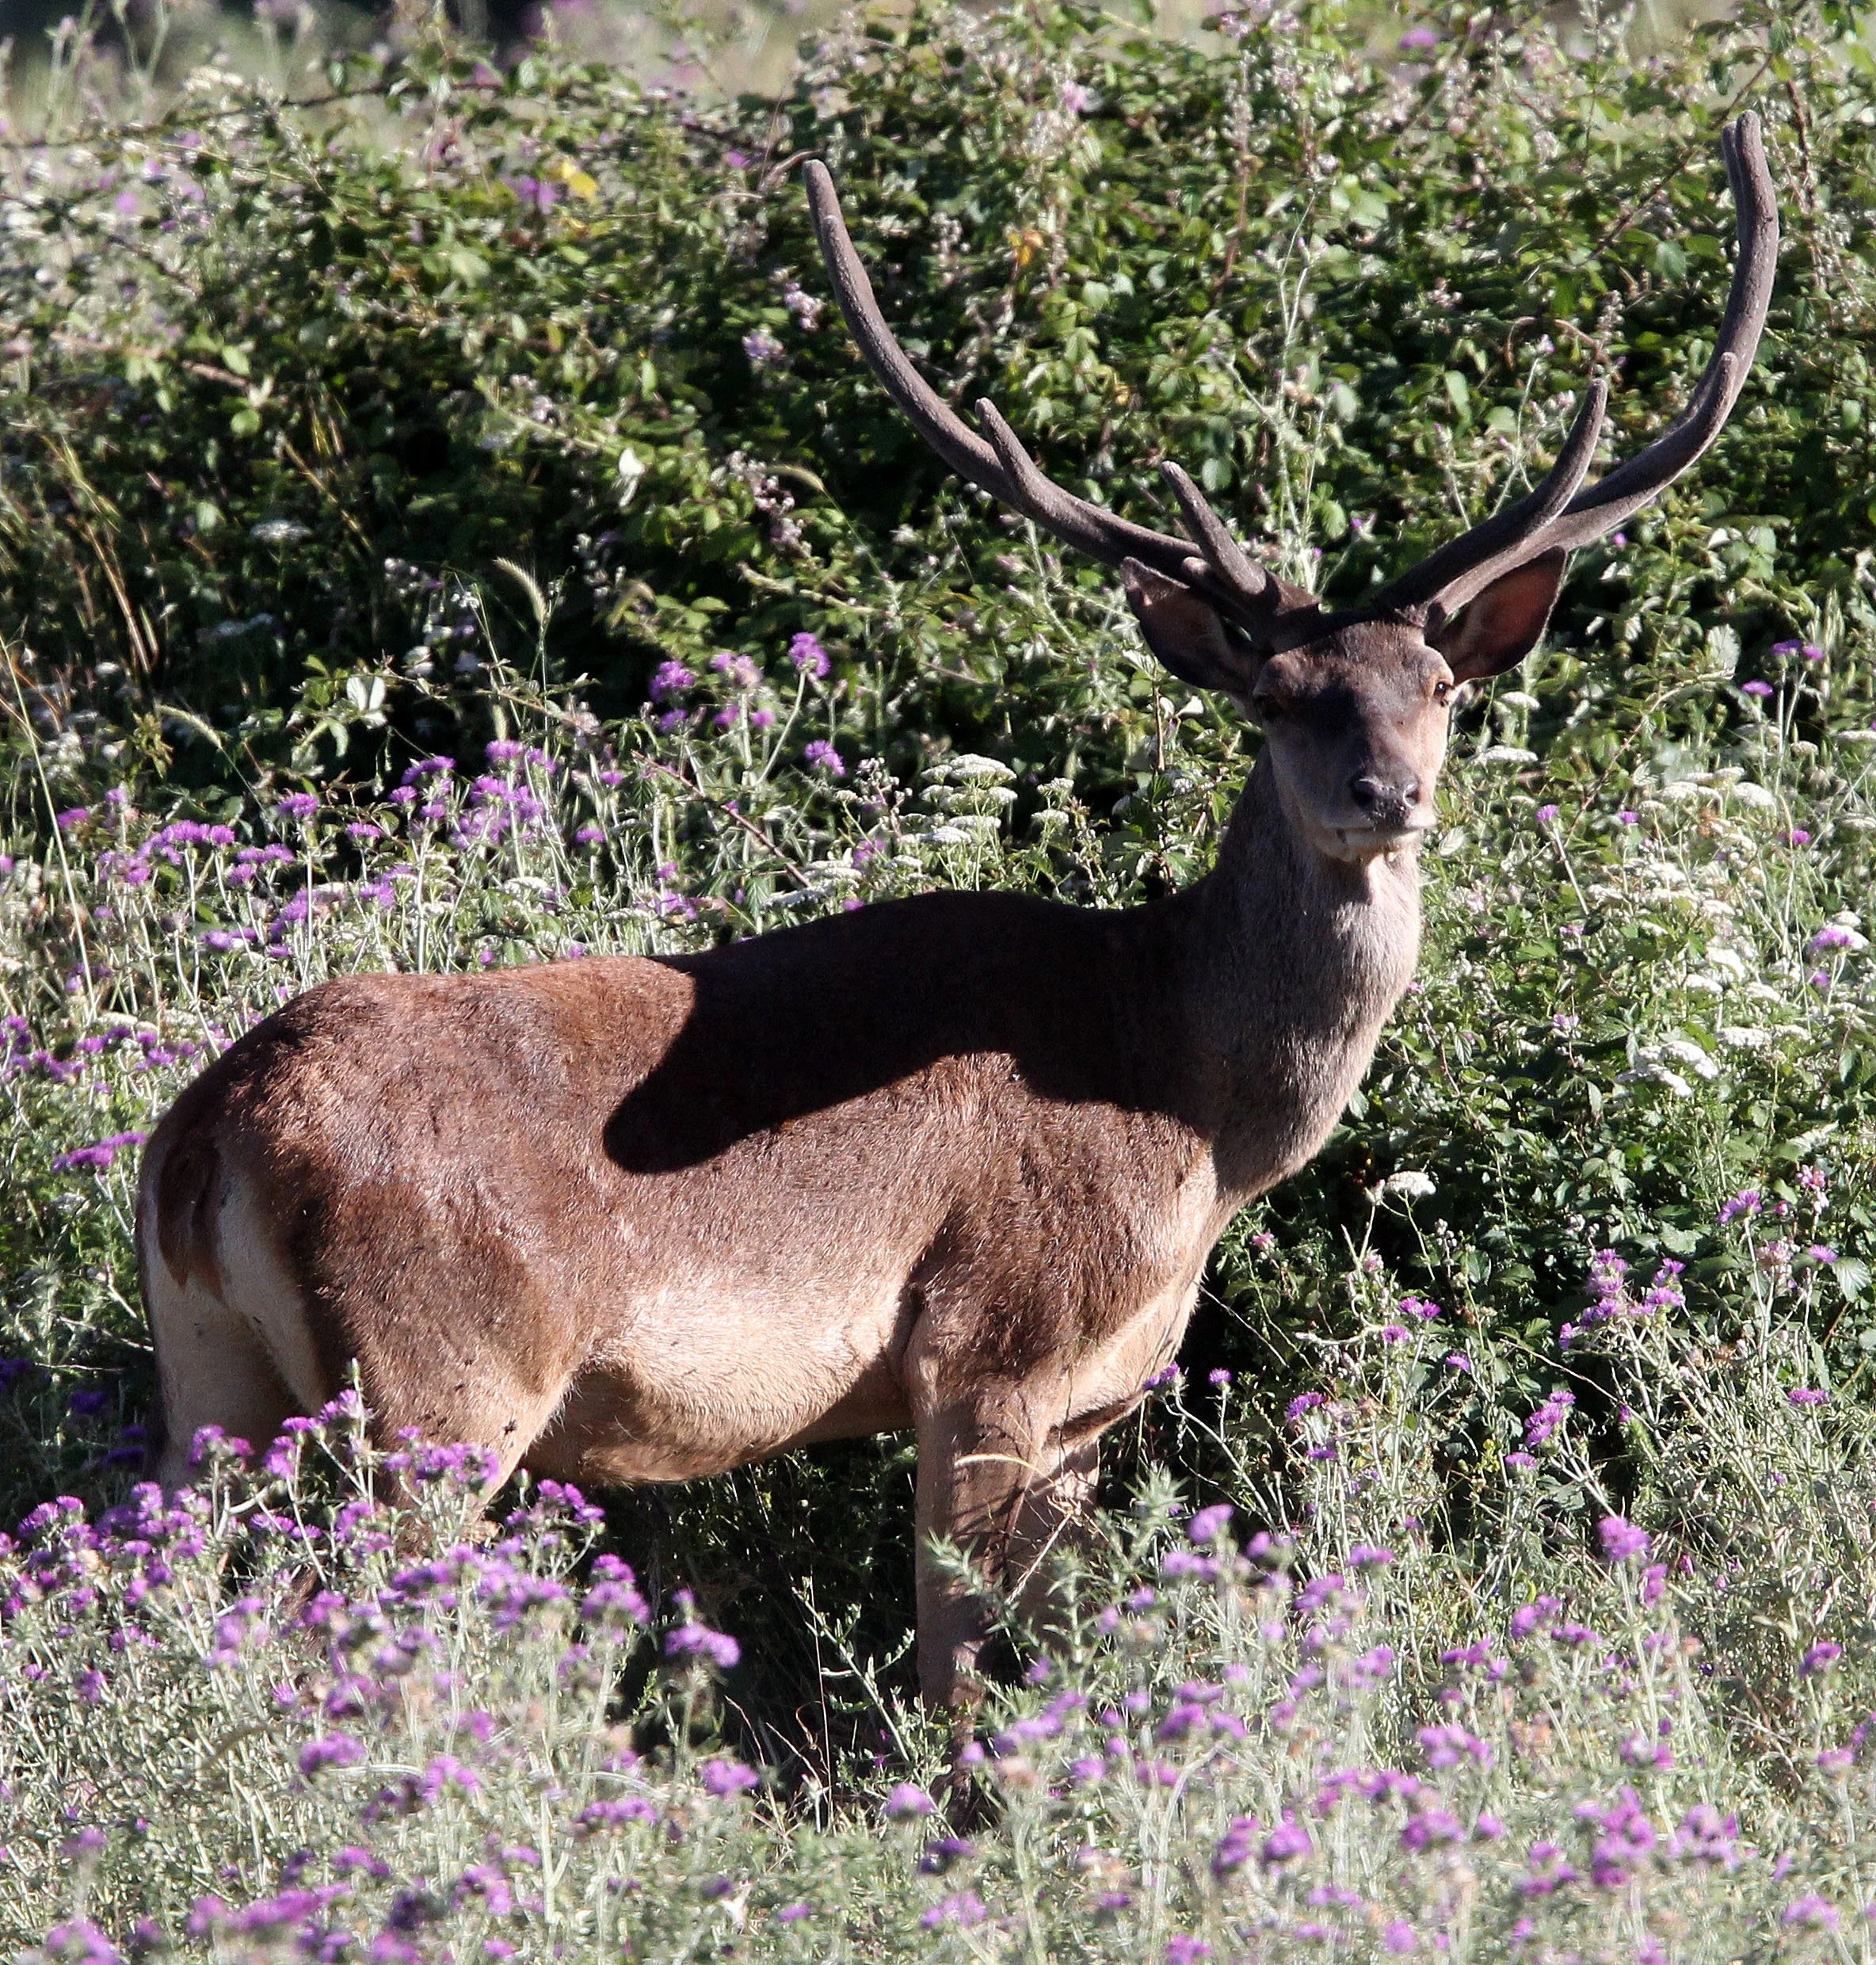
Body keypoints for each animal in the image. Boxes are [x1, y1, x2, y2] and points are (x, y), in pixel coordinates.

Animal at [137, 117, 1777, 1712]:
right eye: (1273, 697)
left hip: (211, 1380)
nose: (1386, 792)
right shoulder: (993, 1344)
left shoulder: (1097, 1395)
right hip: (440, 1383)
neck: (1188, 1108)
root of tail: (211, 1133)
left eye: (1435, 684)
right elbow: (961, 1670)